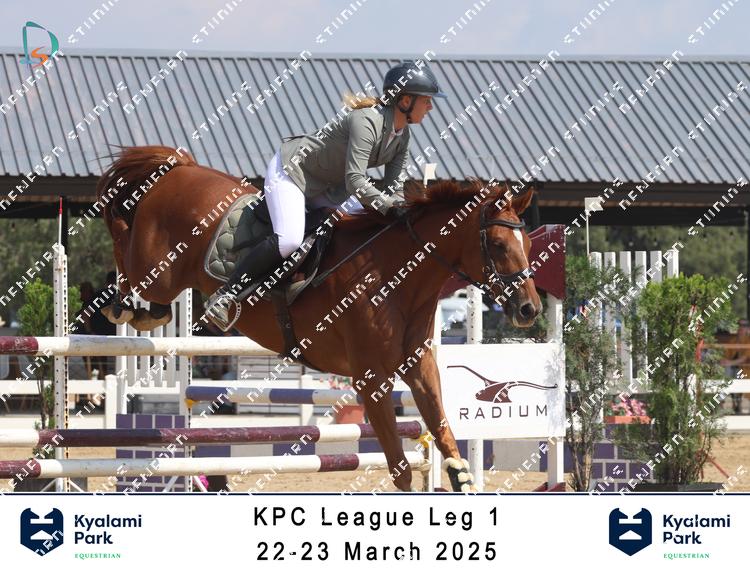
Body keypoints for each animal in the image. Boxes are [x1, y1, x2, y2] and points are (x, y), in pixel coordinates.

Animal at [96, 145, 542, 492]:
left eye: (525, 240)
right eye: (498, 244)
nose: (529, 309)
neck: (396, 277)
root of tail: (181, 167)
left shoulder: (421, 370)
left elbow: (446, 438)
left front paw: (459, 479)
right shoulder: (372, 379)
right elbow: (399, 470)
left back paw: (142, 311)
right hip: (158, 270)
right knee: (121, 234)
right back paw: (120, 302)